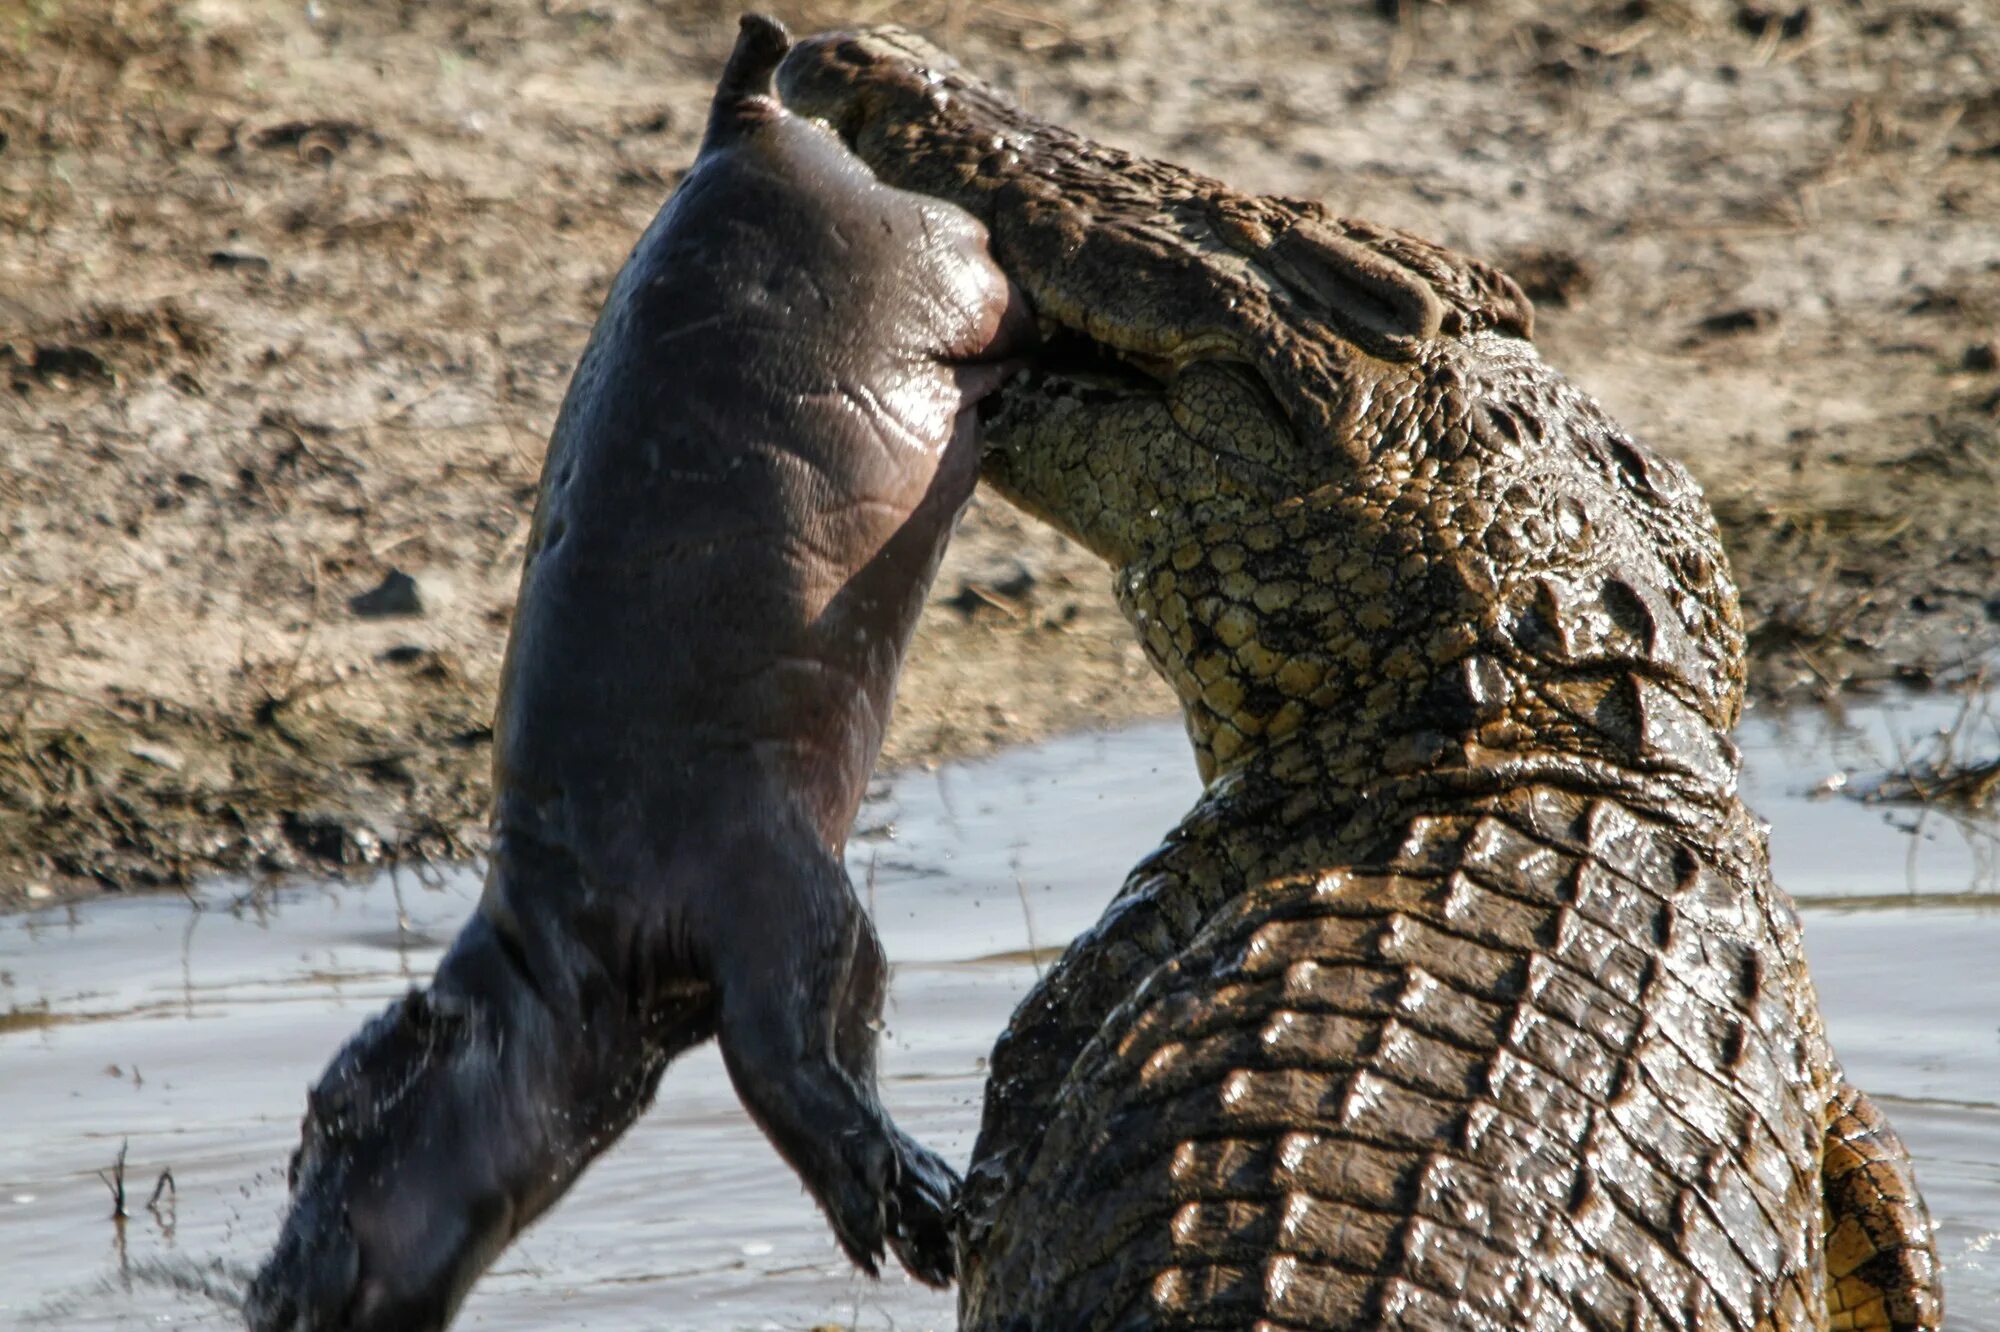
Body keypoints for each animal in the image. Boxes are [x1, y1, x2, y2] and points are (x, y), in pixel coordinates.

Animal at [246, 15, 1032, 1320]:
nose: (263, 1290)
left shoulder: (765, 876)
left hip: (943, 265)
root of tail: (736, 128)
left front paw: (903, 1205)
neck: (558, 957)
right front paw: (903, 1208)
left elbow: (798, 1041)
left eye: (330, 1125)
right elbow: (815, 1036)